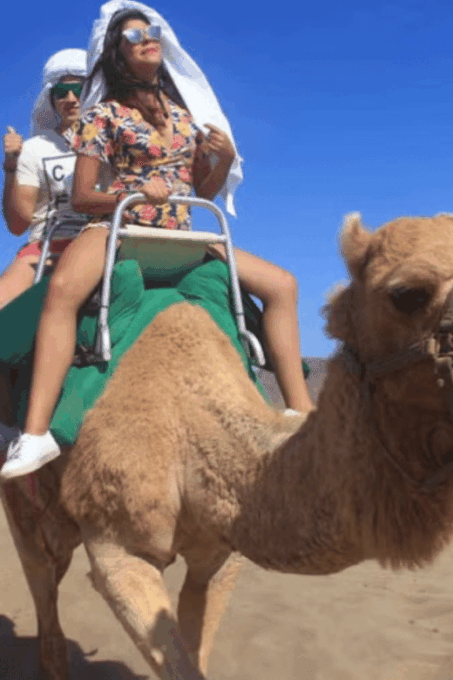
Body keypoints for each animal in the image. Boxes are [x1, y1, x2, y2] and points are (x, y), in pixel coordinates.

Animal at [3, 212, 453, 680]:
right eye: (407, 294)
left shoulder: (221, 552)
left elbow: (197, 651)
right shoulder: (116, 550)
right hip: (29, 513)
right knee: (44, 587)